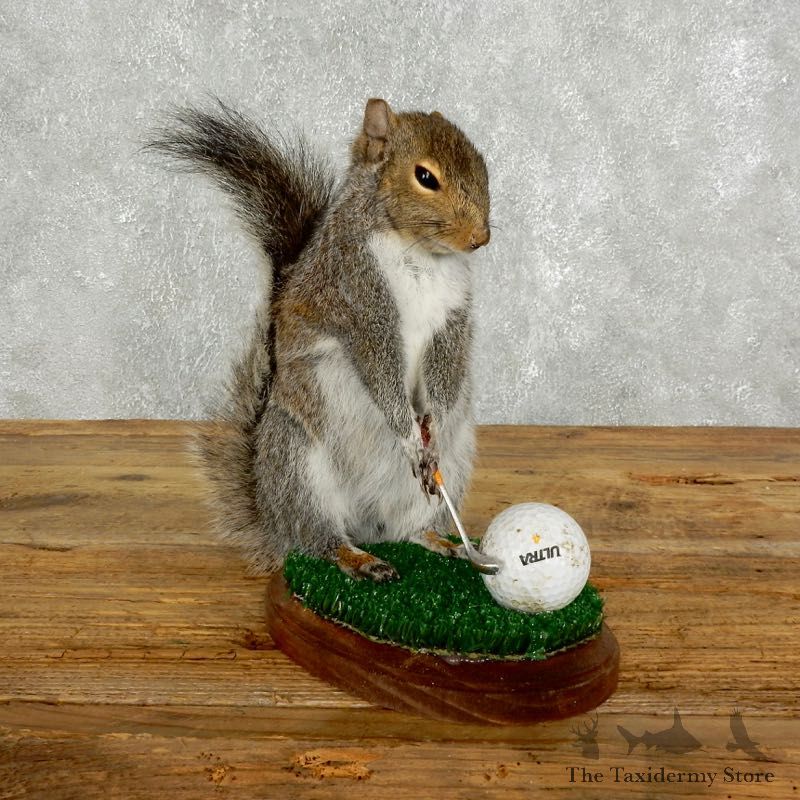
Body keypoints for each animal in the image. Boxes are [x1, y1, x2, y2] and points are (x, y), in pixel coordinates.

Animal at [149, 97, 491, 581]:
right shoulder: (360, 302)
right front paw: (409, 436)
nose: (481, 237)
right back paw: (358, 559)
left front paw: (432, 434)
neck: (421, 254)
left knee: (411, 528)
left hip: (453, 470)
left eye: (481, 163)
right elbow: (380, 370)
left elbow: (447, 370)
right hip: (299, 465)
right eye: (425, 177)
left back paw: (442, 541)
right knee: (317, 540)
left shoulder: (452, 320)